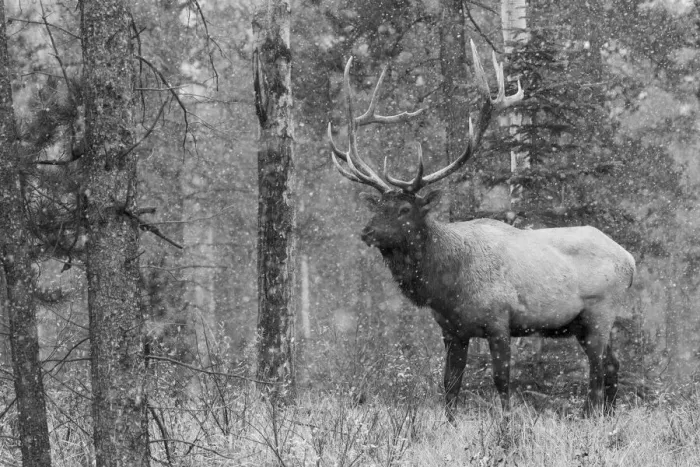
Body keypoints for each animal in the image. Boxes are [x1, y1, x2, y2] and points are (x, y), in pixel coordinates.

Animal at [327, 40, 636, 419]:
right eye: (378, 206)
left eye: (404, 209)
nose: (367, 233)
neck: (446, 285)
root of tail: (630, 260)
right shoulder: (452, 330)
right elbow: (449, 386)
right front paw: (448, 424)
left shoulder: (500, 319)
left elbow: (502, 382)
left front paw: (506, 425)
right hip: (585, 323)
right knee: (613, 366)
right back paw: (608, 419)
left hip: (600, 311)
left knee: (596, 372)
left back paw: (590, 417)